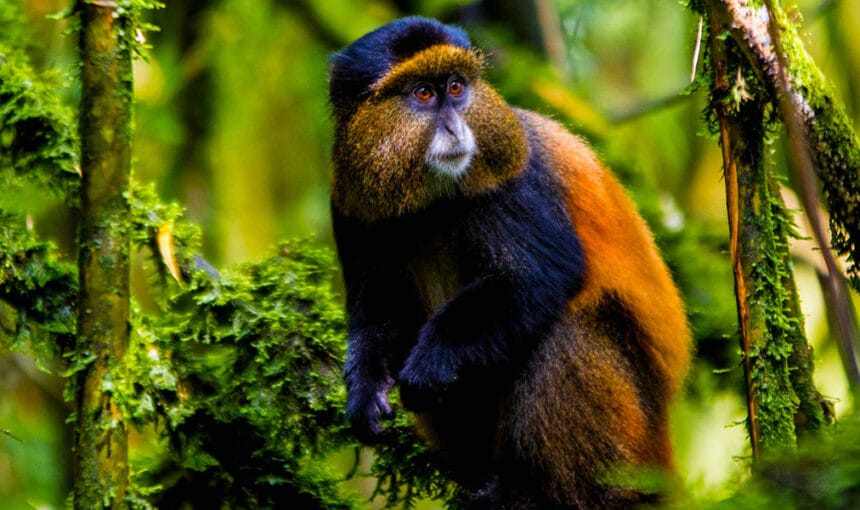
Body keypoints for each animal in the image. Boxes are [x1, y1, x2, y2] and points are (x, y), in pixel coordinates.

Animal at [328, 17, 691, 509]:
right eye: (423, 93)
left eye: (456, 87)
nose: (456, 130)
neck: (432, 201)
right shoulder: (351, 204)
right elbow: (379, 310)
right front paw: (365, 392)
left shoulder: (513, 178)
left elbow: (537, 277)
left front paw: (431, 362)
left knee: (566, 331)